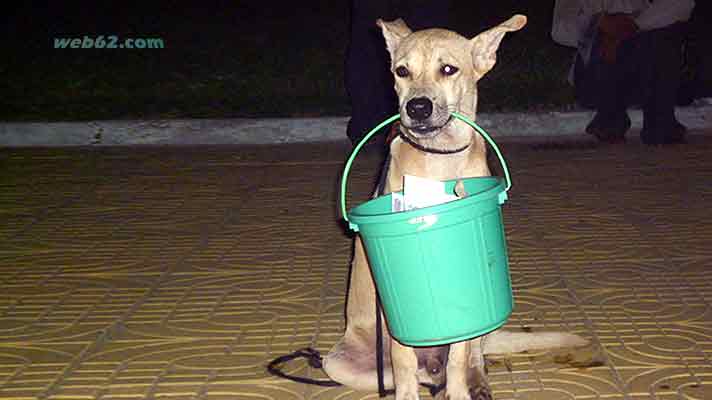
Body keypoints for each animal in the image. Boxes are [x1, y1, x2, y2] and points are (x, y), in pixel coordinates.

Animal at [324, 14, 600, 398]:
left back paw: (472, 382)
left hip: (483, 324)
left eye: (448, 69)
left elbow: (459, 358)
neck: (440, 158)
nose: (417, 108)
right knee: (414, 372)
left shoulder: (469, 316)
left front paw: (459, 391)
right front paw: (410, 395)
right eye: (402, 71)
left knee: (471, 357)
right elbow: (404, 362)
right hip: (338, 363)